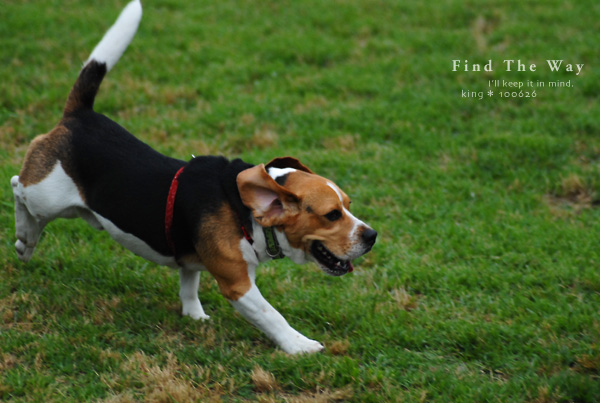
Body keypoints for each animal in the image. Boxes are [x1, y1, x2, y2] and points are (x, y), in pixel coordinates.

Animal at [10, 0, 376, 354]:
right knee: (18, 188)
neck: (245, 211)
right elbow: (272, 315)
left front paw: (194, 316)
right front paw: (300, 345)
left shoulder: (193, 261)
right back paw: (25, 239)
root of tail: (80, 116)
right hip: (46, 198)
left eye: (348, 205)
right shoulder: (238, 283)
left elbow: (189, 285)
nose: (373, 236)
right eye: (332, 215)